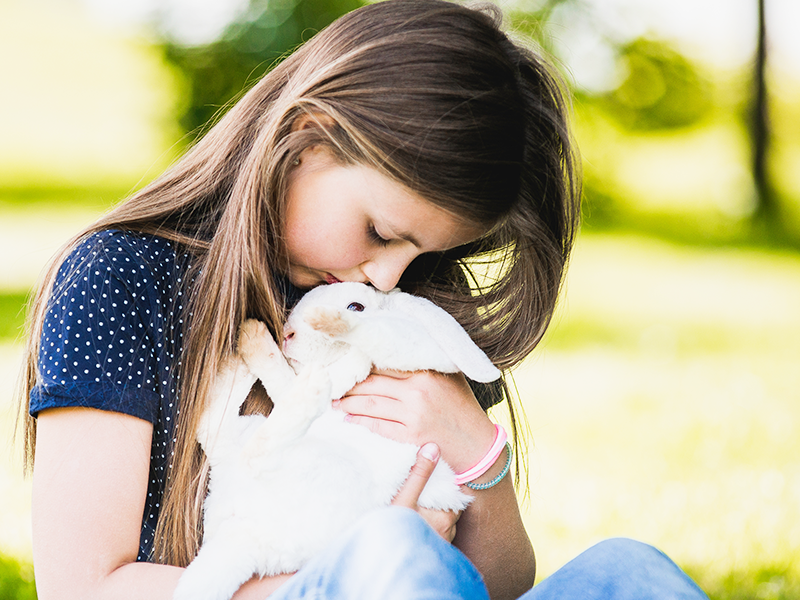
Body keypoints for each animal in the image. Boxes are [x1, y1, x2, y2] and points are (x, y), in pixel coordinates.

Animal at [174, 282, 500, 600]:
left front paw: (327, 321)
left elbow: (380, 332)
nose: (287, 333)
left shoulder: (409, 346)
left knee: (250, 451)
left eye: (356, 305)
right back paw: (249, 345)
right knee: (222, 434)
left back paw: (291, 375)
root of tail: (237, 531)